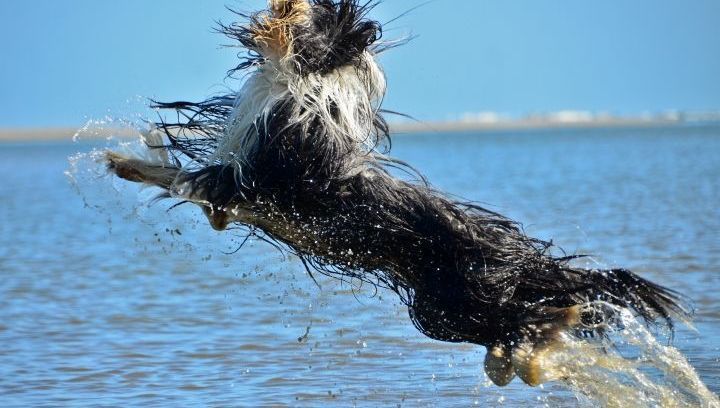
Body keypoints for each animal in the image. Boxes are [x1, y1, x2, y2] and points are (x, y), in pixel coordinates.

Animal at [104, 0, 688, 388]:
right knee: (514, 329)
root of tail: (513, 251)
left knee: (535, 320)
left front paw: (129, 164)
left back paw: (544, 336)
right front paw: (123, 164)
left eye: (316, 14)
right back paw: (514, 359)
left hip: (454, 299)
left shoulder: (259, 178)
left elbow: (188, 178)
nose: (285, 0)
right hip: (444, 309)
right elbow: (179, 182)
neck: (299, 83)